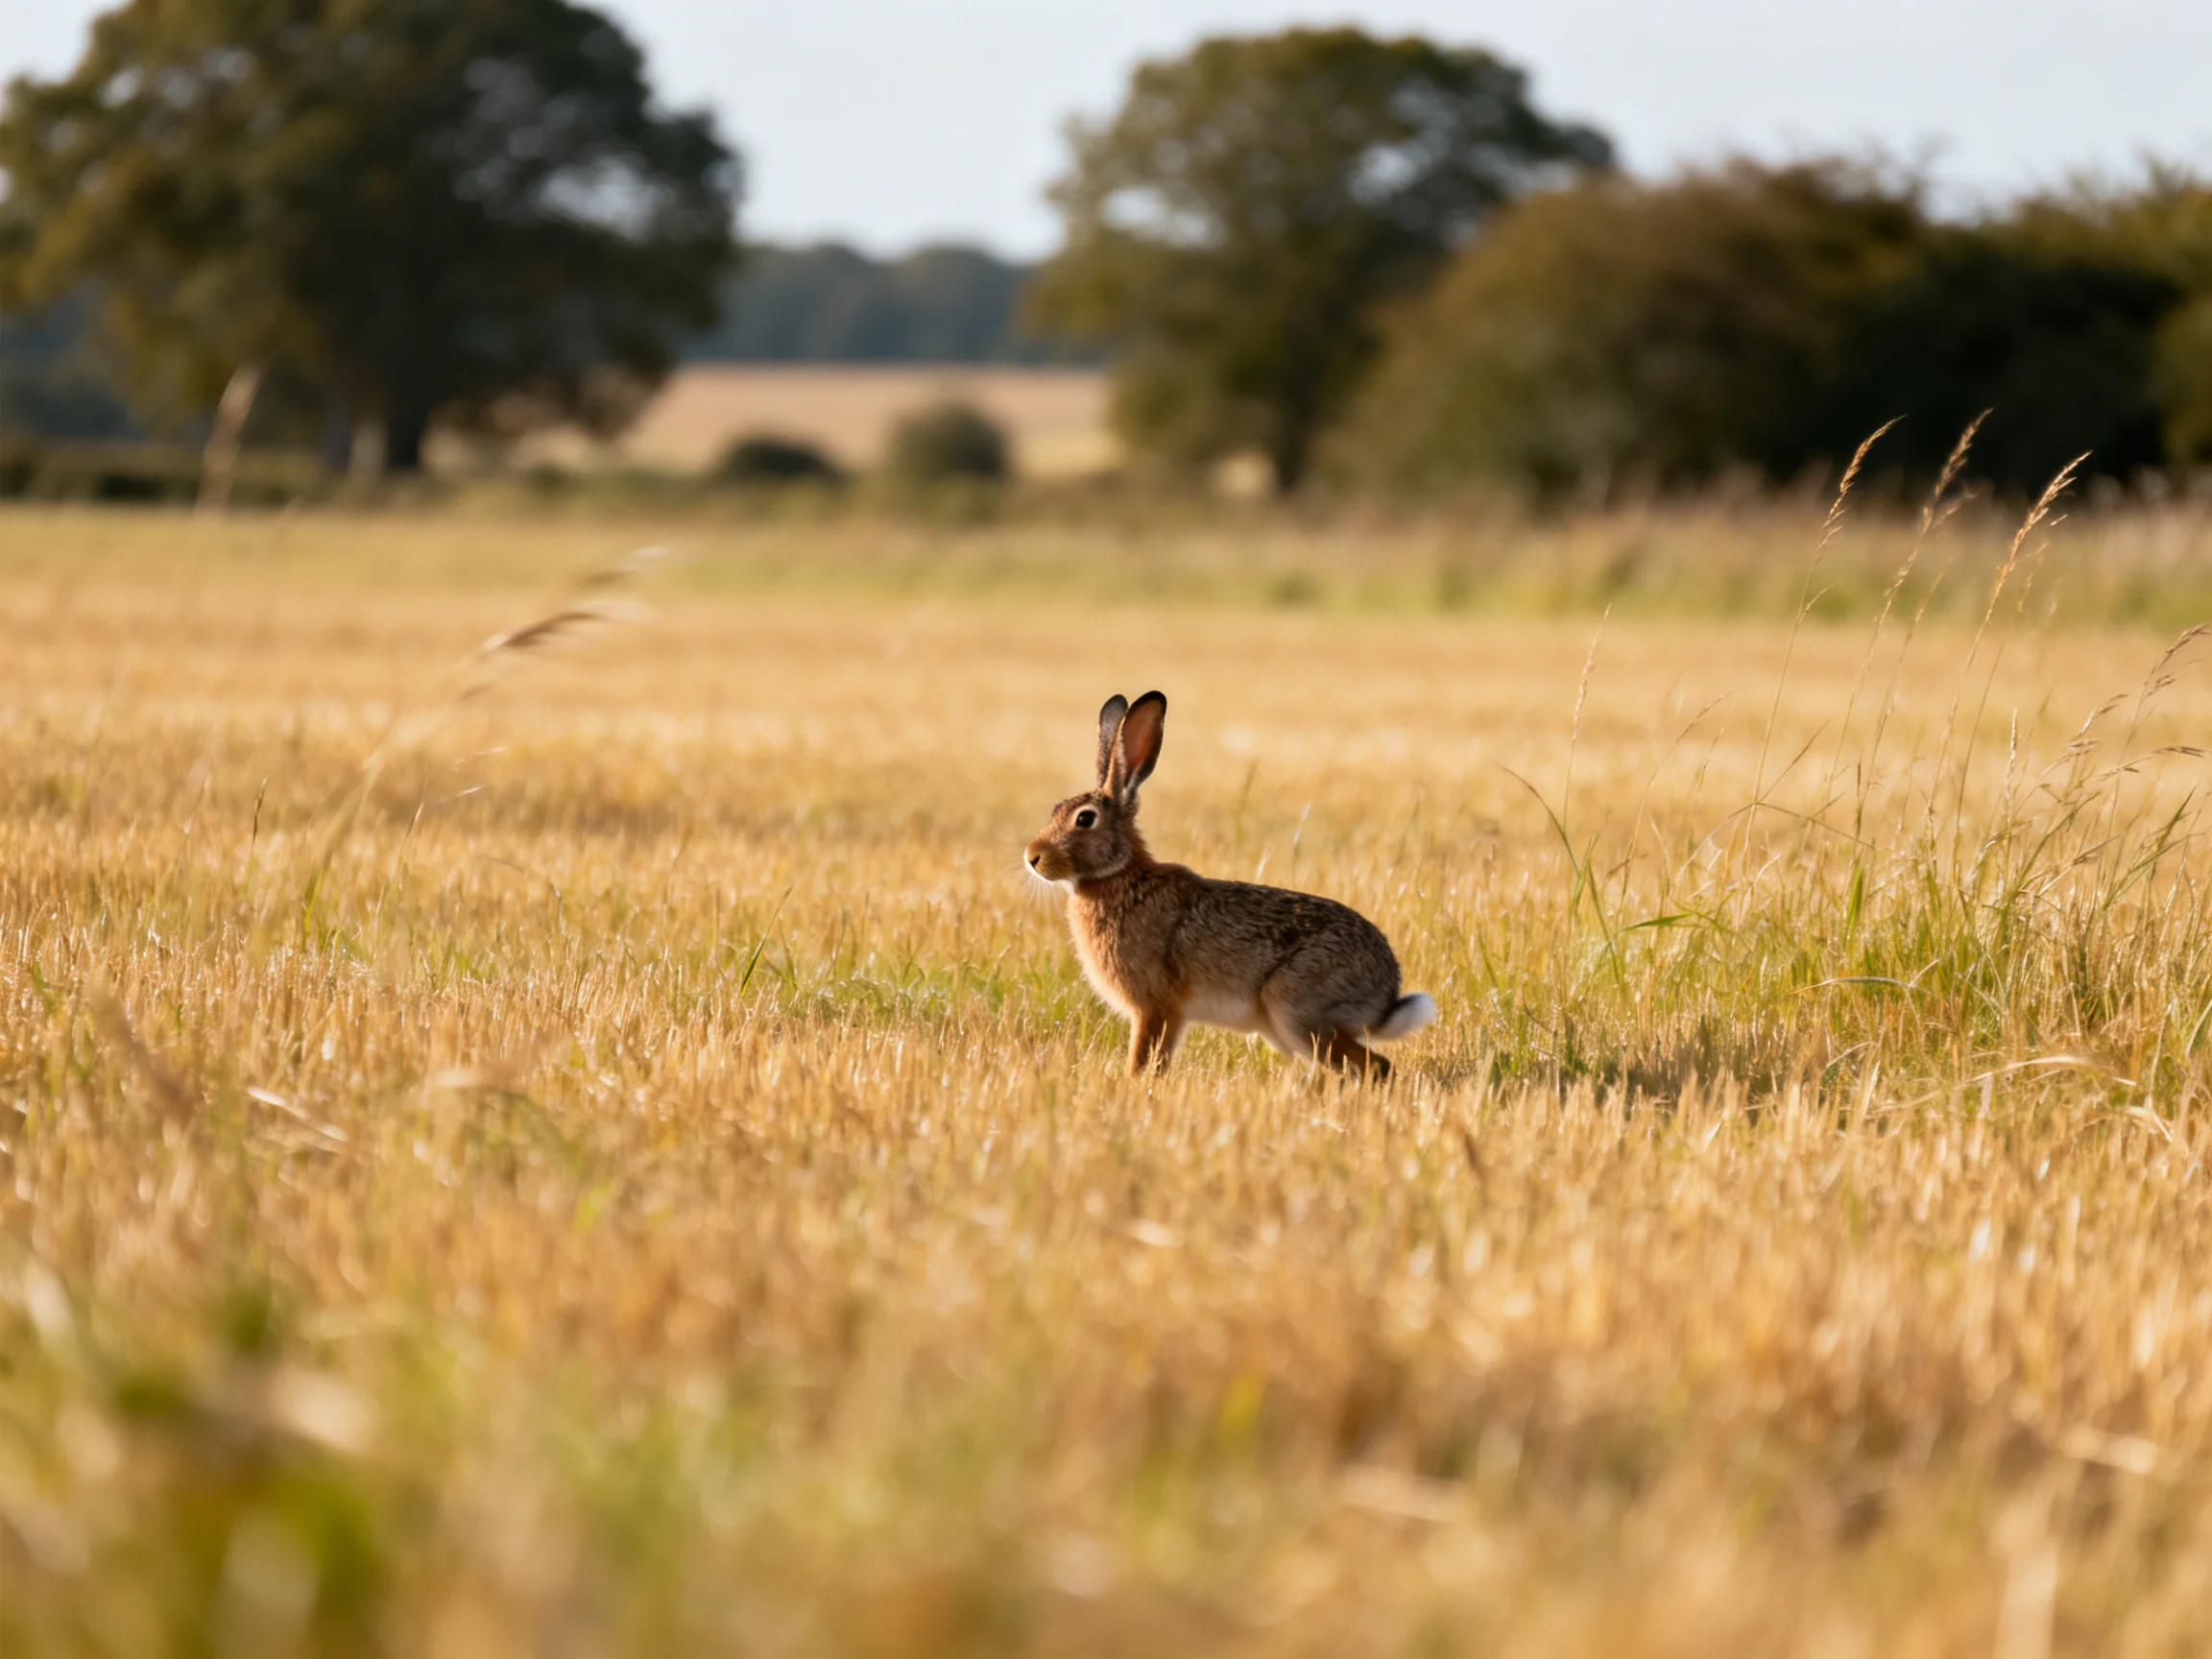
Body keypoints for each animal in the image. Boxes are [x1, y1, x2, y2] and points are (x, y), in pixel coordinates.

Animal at [1025, 691, 1435, 1080]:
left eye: (1085, 819)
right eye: (1056, 809)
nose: (1033, 857)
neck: (1120, 875)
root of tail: (1385, 998)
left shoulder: (1155, 1006)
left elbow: (1147, 1060)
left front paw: (1135, 1087)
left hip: (1297, 1011)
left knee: (1378, 1066)